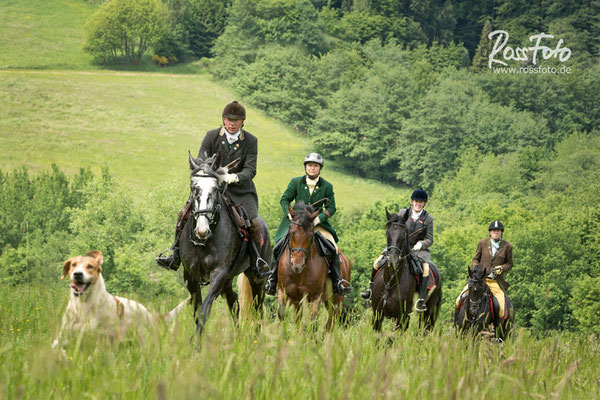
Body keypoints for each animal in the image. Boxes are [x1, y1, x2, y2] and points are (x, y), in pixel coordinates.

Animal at [179, 152, 270, 336]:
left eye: (215, 189)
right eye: (193, 187)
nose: (202, 230)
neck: (203, 242)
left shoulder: (219, 274)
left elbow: (204, 310)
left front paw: (196, 343)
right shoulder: (190, 275)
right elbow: (197, 310)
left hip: (257, 279)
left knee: (258, 309)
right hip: (229, 279)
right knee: (234, 303)